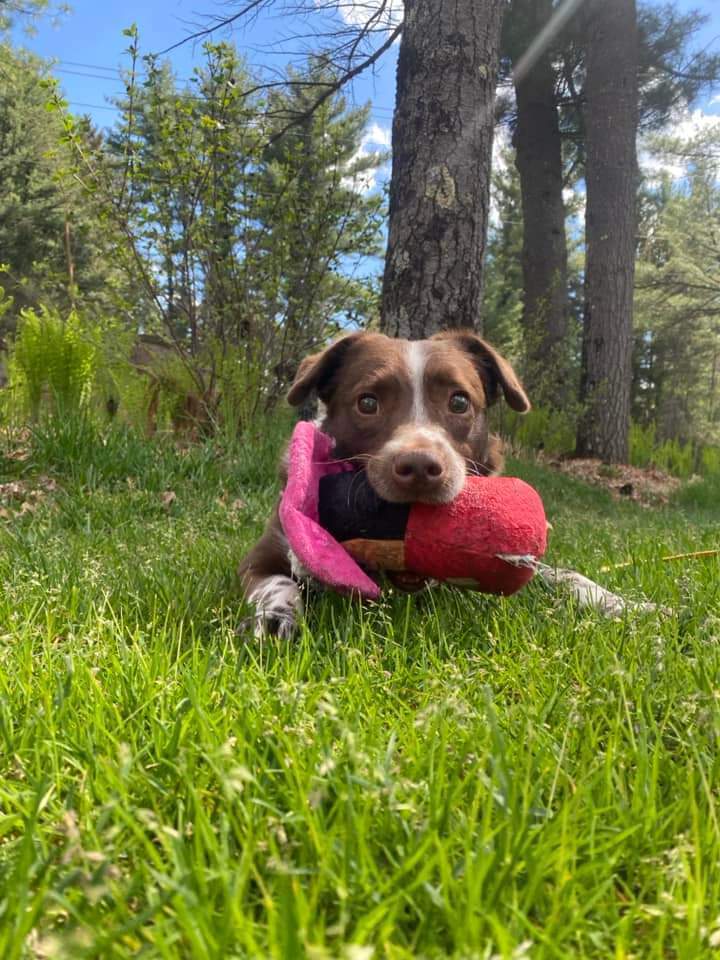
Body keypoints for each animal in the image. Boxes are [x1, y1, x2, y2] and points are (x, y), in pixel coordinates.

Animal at [238, 330, 528, 636]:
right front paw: (275, 617)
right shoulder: (261, 557)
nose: (420, 467)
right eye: (367, 403)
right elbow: (280, 583)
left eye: (459, 402)